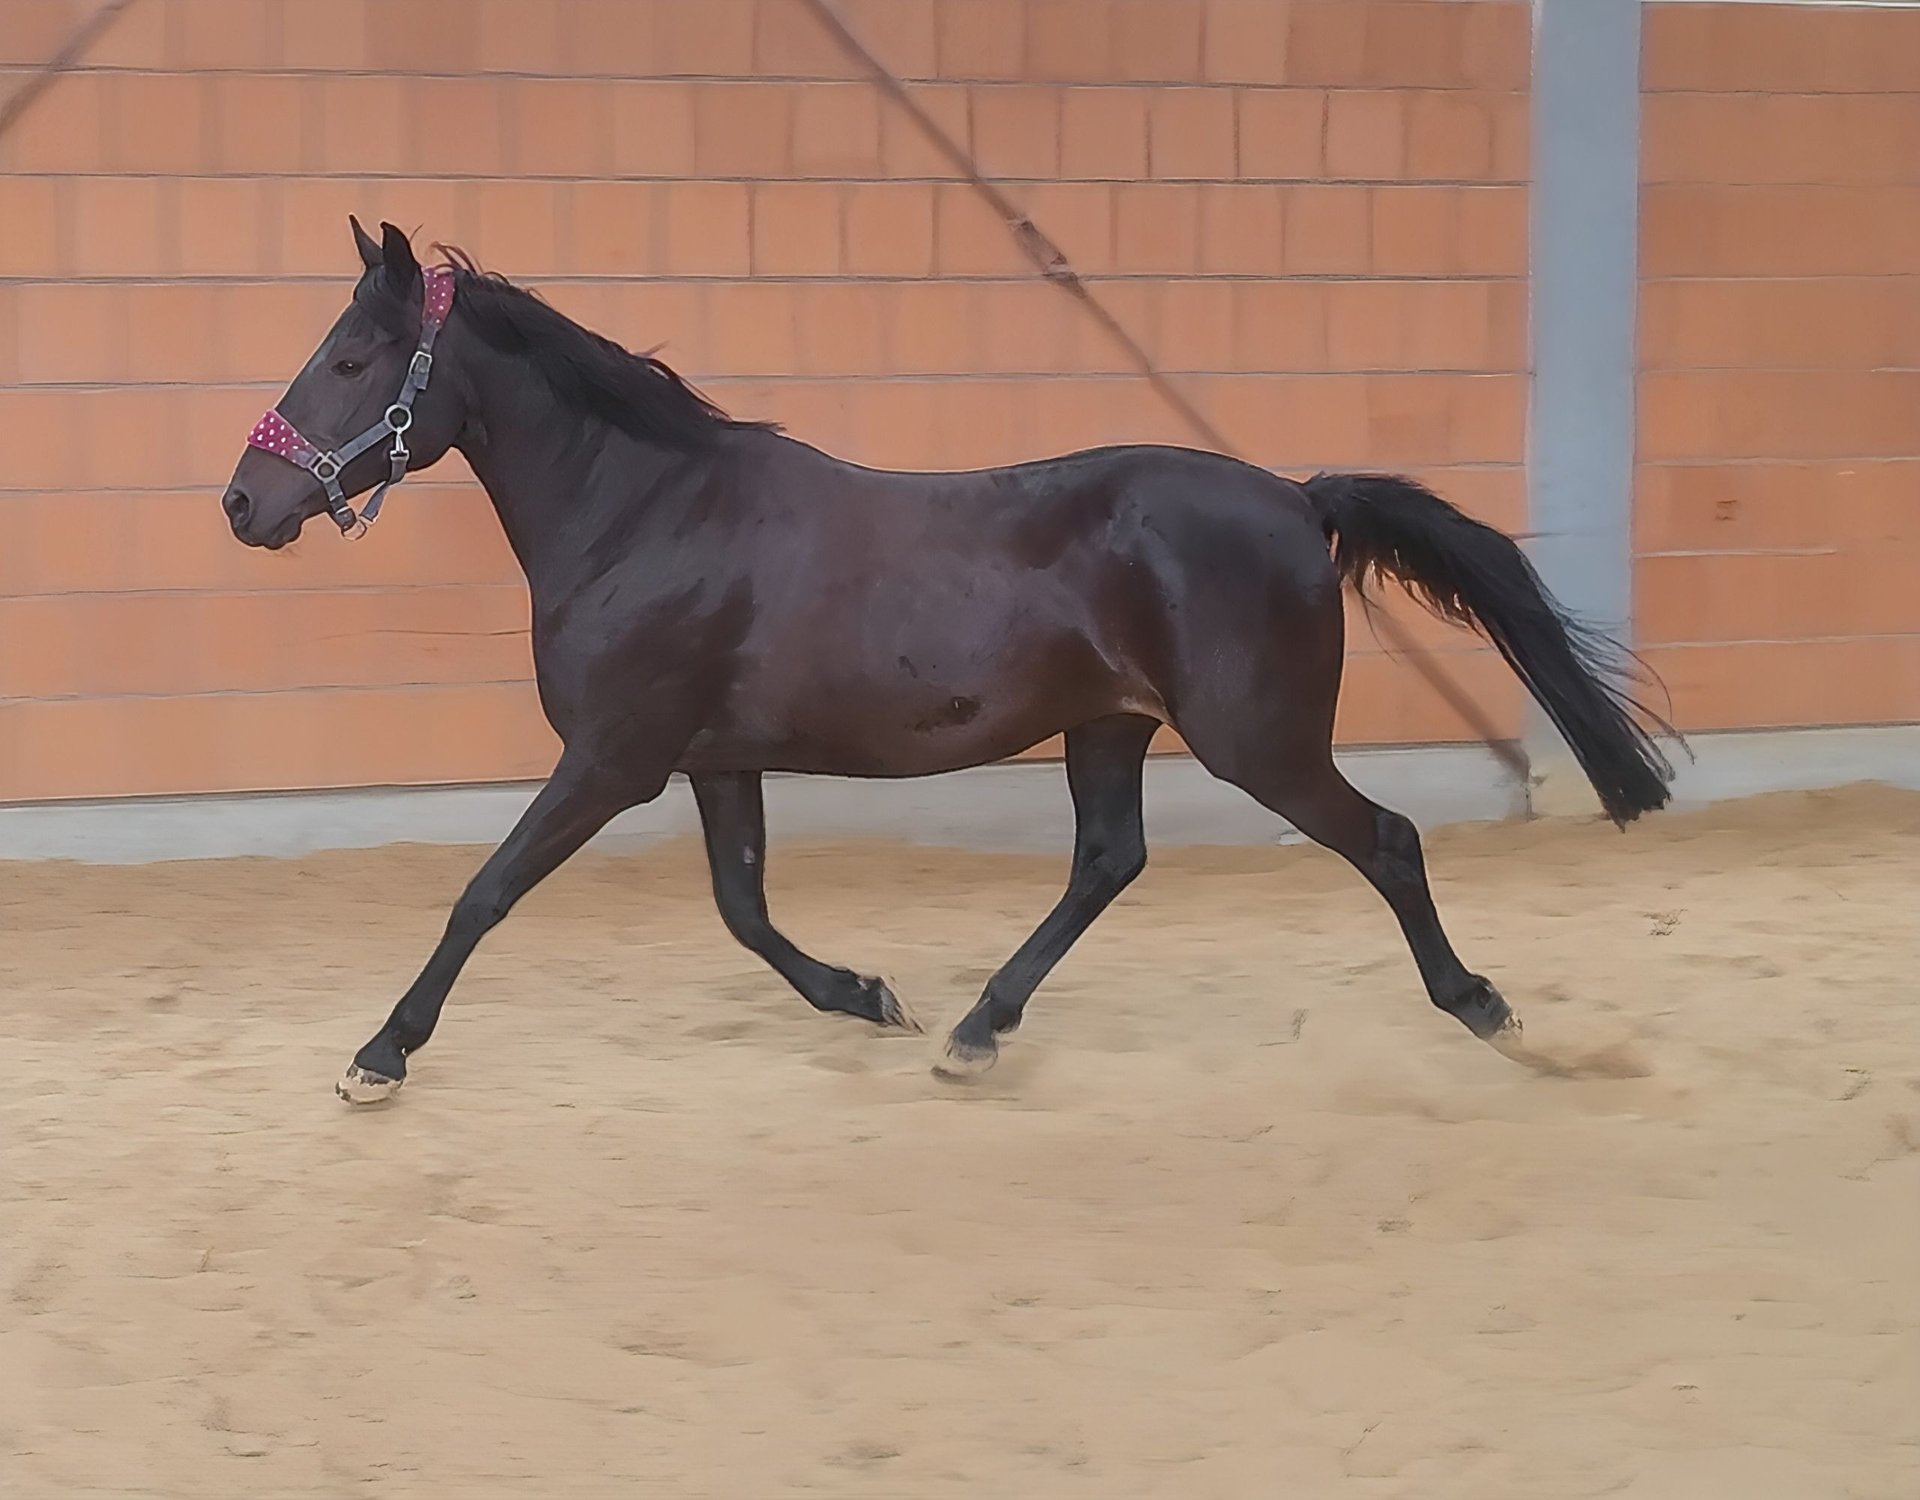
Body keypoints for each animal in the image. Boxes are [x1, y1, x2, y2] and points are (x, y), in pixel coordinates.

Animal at [221, 220, 1674, 1105]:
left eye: (352, 355)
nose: (243, 504)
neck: (646, 511)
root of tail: (1295, 498)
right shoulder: (711, 761)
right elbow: (744, 910)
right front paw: (868, 997)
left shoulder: (612, 759)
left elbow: (484, 894)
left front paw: (378, 1056)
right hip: (1111, 725)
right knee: (1109, 862)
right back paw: (979, 1030)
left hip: (1257, 740)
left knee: (1385, 843)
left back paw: (1483, 1008)